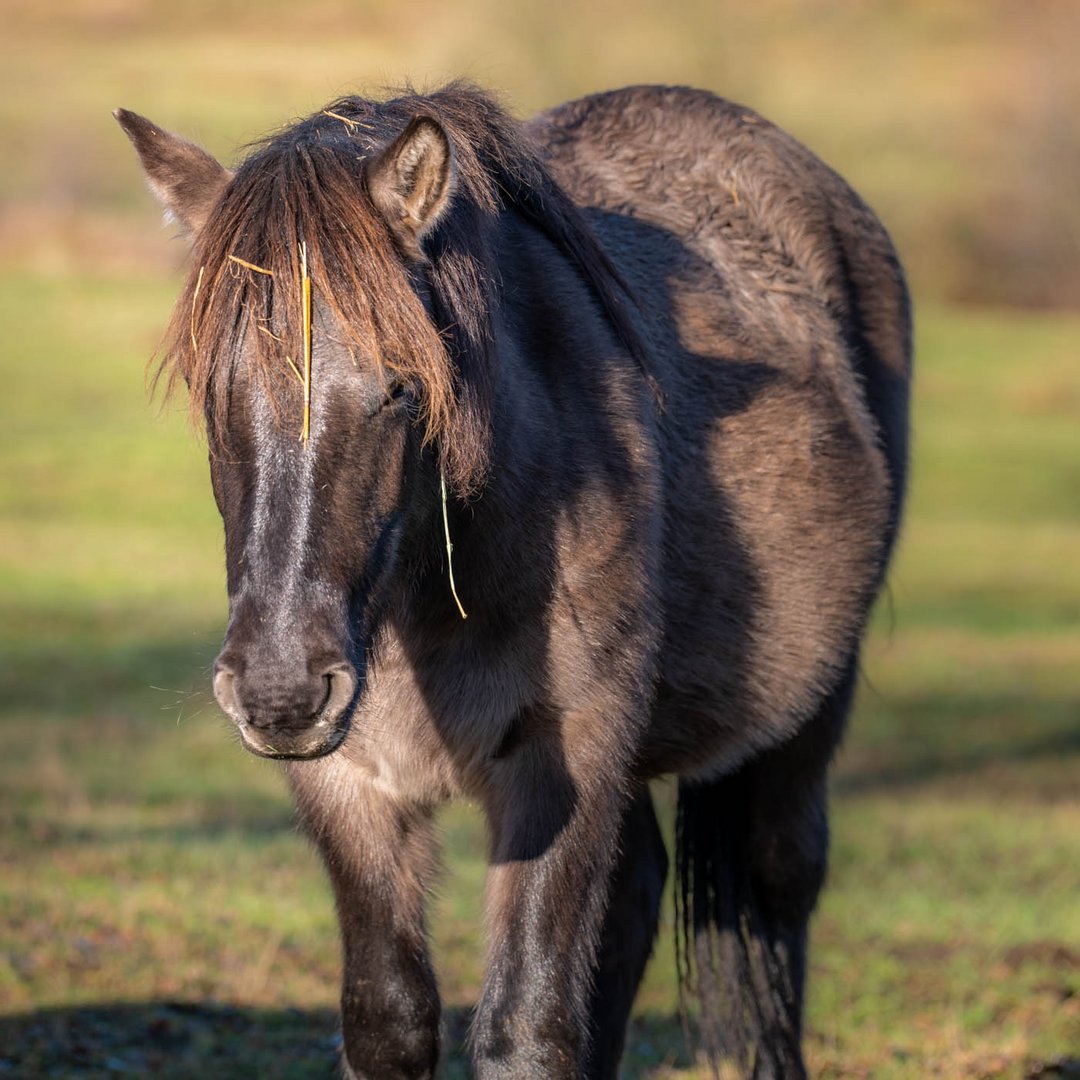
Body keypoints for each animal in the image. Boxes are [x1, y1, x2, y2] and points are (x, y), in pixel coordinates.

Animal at [116, 79, 911, 1075]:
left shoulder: (563, 760)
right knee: (633, 901)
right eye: (212, 389)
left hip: (802, 718)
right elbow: (389, 1016)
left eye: (400, 389)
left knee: (775, 886)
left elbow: (524, 1027)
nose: (280, 692)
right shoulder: (348, 785)